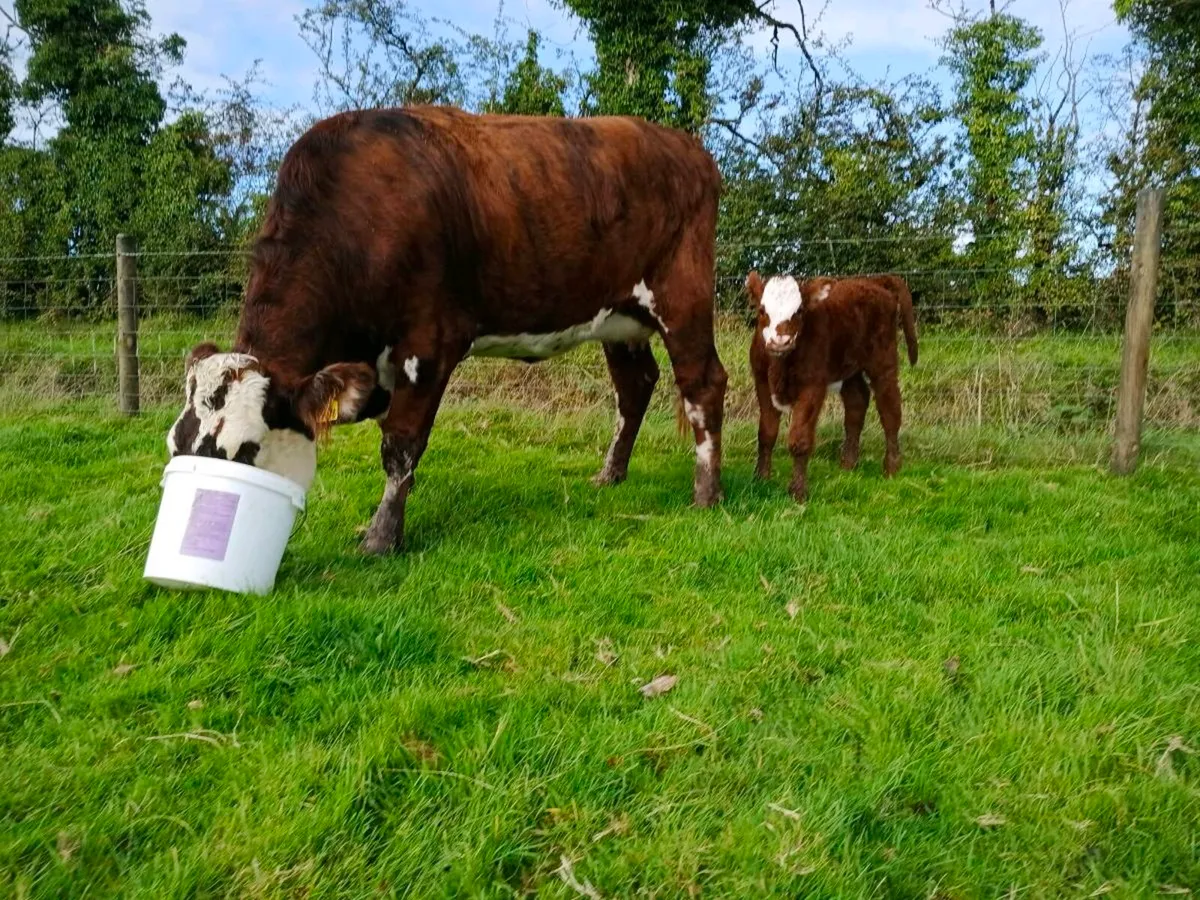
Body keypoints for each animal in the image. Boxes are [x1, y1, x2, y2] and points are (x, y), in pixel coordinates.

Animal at [166, 107, 728, 554]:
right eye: (174, 446)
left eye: (244, 450)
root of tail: (686, 147)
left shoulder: (429, 346)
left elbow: (400, 446)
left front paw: (381, 537)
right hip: (619, 318)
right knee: (635, 388)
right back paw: (611, 474)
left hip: (682, 294)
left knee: (703, 385)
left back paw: (706, 494)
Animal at [746, 271, 918, 502]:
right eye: (762, 310)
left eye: (799, 311)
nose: (780, 341)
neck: (780, 365)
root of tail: (873, 280)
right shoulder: (762, 382)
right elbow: (766, 432)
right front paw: (761, 478)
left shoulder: (813, 385)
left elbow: (799, 439)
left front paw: (798, 492)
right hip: (850, 366)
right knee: (857, 402)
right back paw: (848, 464)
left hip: (884, 360)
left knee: (890, 411)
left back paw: (891, 467)